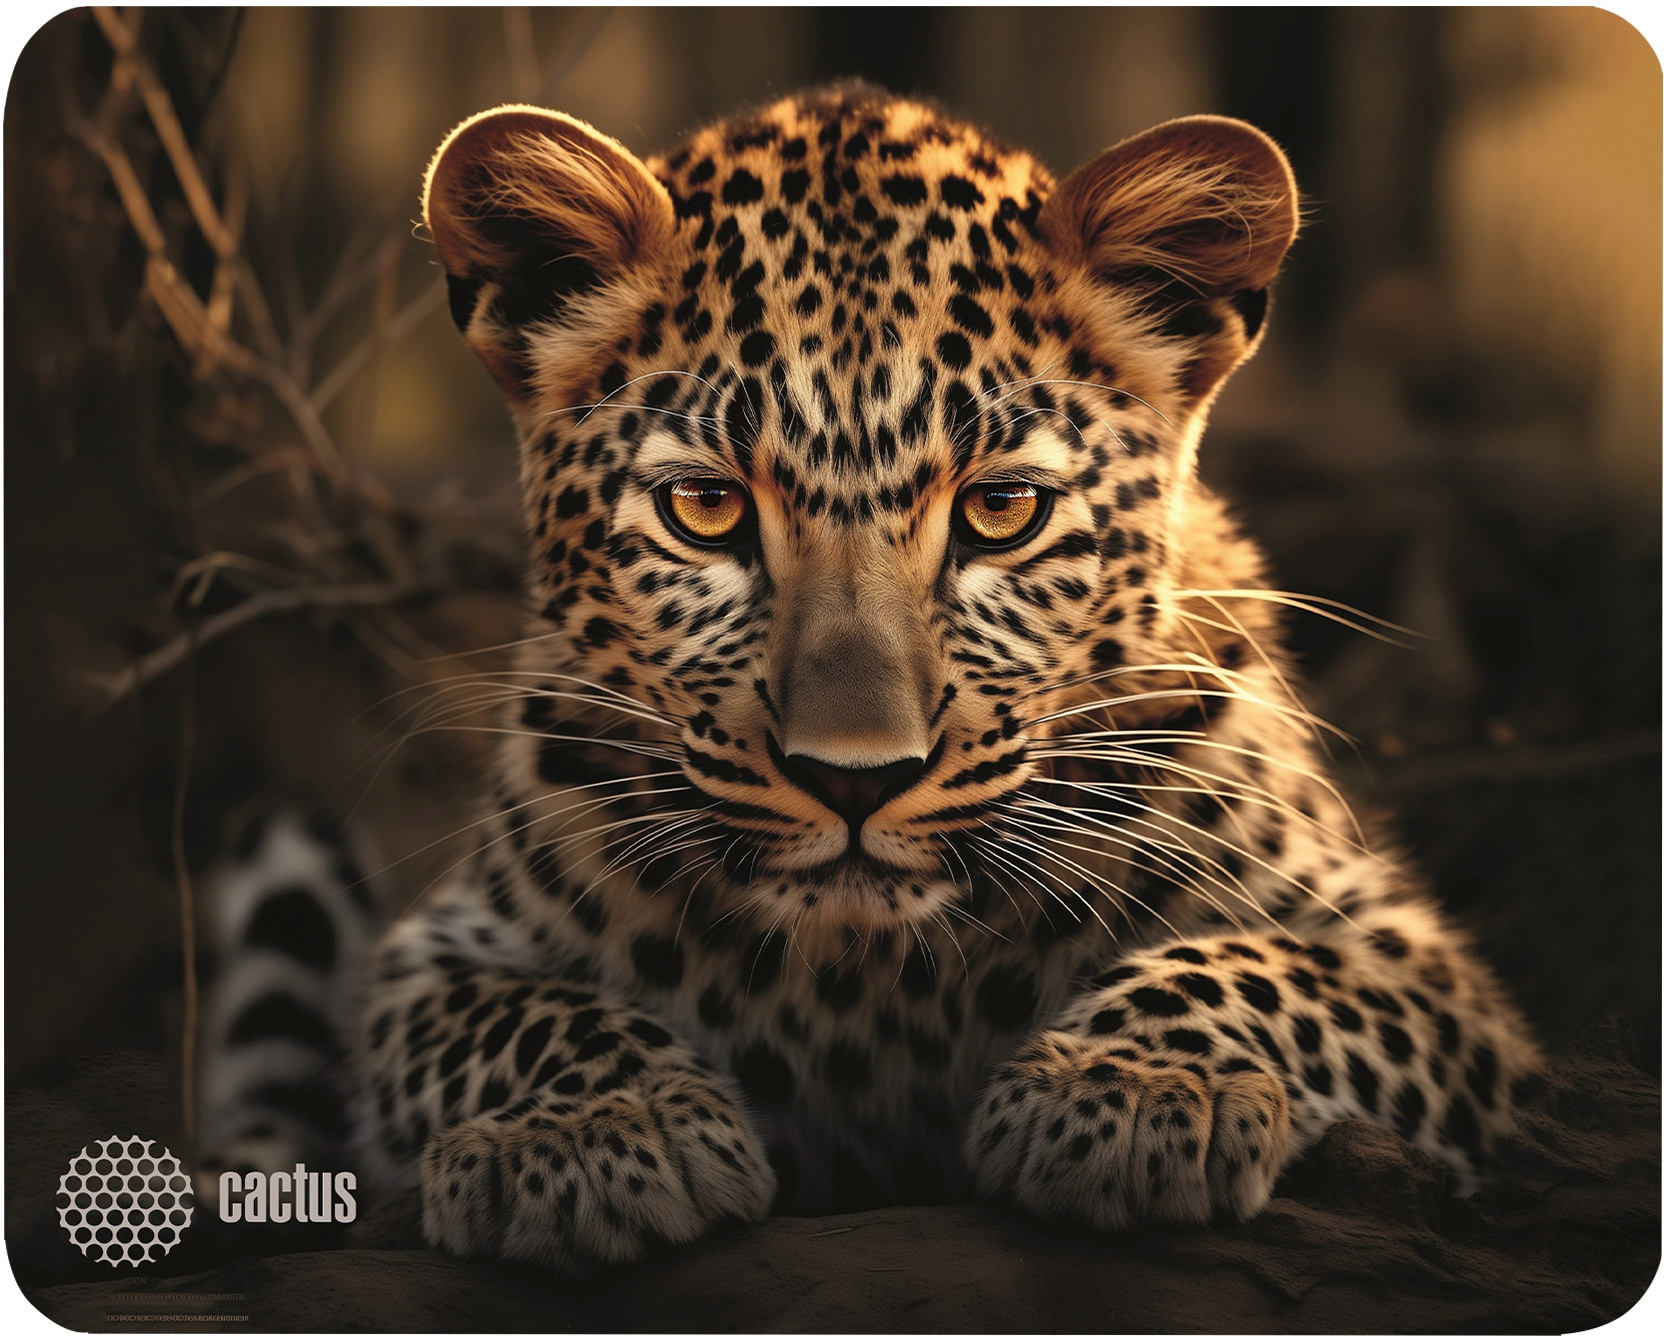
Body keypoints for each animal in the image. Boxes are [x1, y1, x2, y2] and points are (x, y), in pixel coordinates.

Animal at [237, 85, 1539, 1275]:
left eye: (1001, 510)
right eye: (703, 508)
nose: (853, 780)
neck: (867, 974)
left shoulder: (1414, 964)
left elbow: (1255, 967)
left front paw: (1128, 1086)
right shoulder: (440, 955)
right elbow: (516, 1014)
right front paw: (594, 1128)